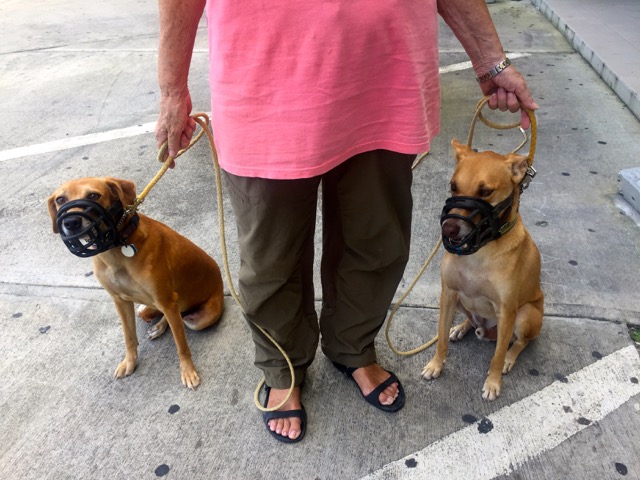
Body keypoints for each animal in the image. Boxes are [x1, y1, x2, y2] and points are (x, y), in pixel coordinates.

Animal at [47, 176, 224, 390]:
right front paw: (129, 363)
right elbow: (129, 337)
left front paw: (188, 371)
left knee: (180, 321)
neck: (115, 250)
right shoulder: (120, 302)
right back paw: (158, 327)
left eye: (93, 195)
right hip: (149, 308)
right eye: (60, 200)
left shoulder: (166, 299)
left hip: (200, 319)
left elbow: (181, 344)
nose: (71, 222)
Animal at [422, 140, 544, 402]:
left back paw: (509, 358)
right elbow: (440, 339)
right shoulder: (448, 294)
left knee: (520, 342)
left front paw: (493, 383)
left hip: (525, 314)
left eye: (485, 191)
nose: (448, 228)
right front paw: (436, 365)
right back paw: (461, 328)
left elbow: (496, 356)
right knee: (471, 320)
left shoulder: (507, 311)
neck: (480, 251)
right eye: (453, 186)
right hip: (461, 302)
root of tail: (487, 332)